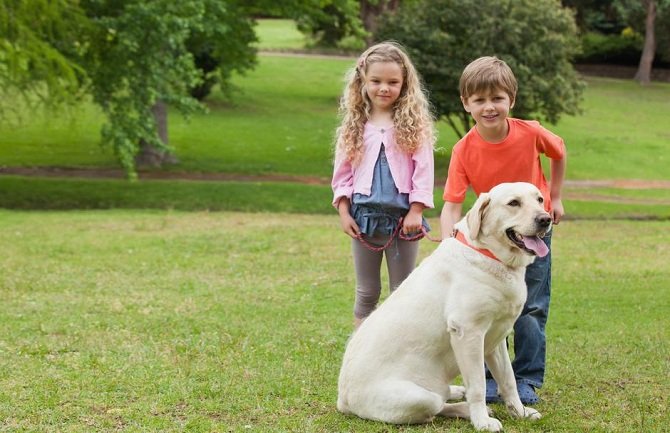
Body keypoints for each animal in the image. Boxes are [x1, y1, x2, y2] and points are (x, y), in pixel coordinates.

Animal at [338, 181, 552, 430]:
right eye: (514, 203)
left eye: (539, 199)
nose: (546, 219)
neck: (489, 255)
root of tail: (342, 399)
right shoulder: (468, 333)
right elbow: (478, 386)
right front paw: (482, 421)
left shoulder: (496, 337)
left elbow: (508, 380)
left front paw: (520, 412)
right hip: (419, 398)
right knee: (438, 406)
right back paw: (465, 408)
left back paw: (457, 391)